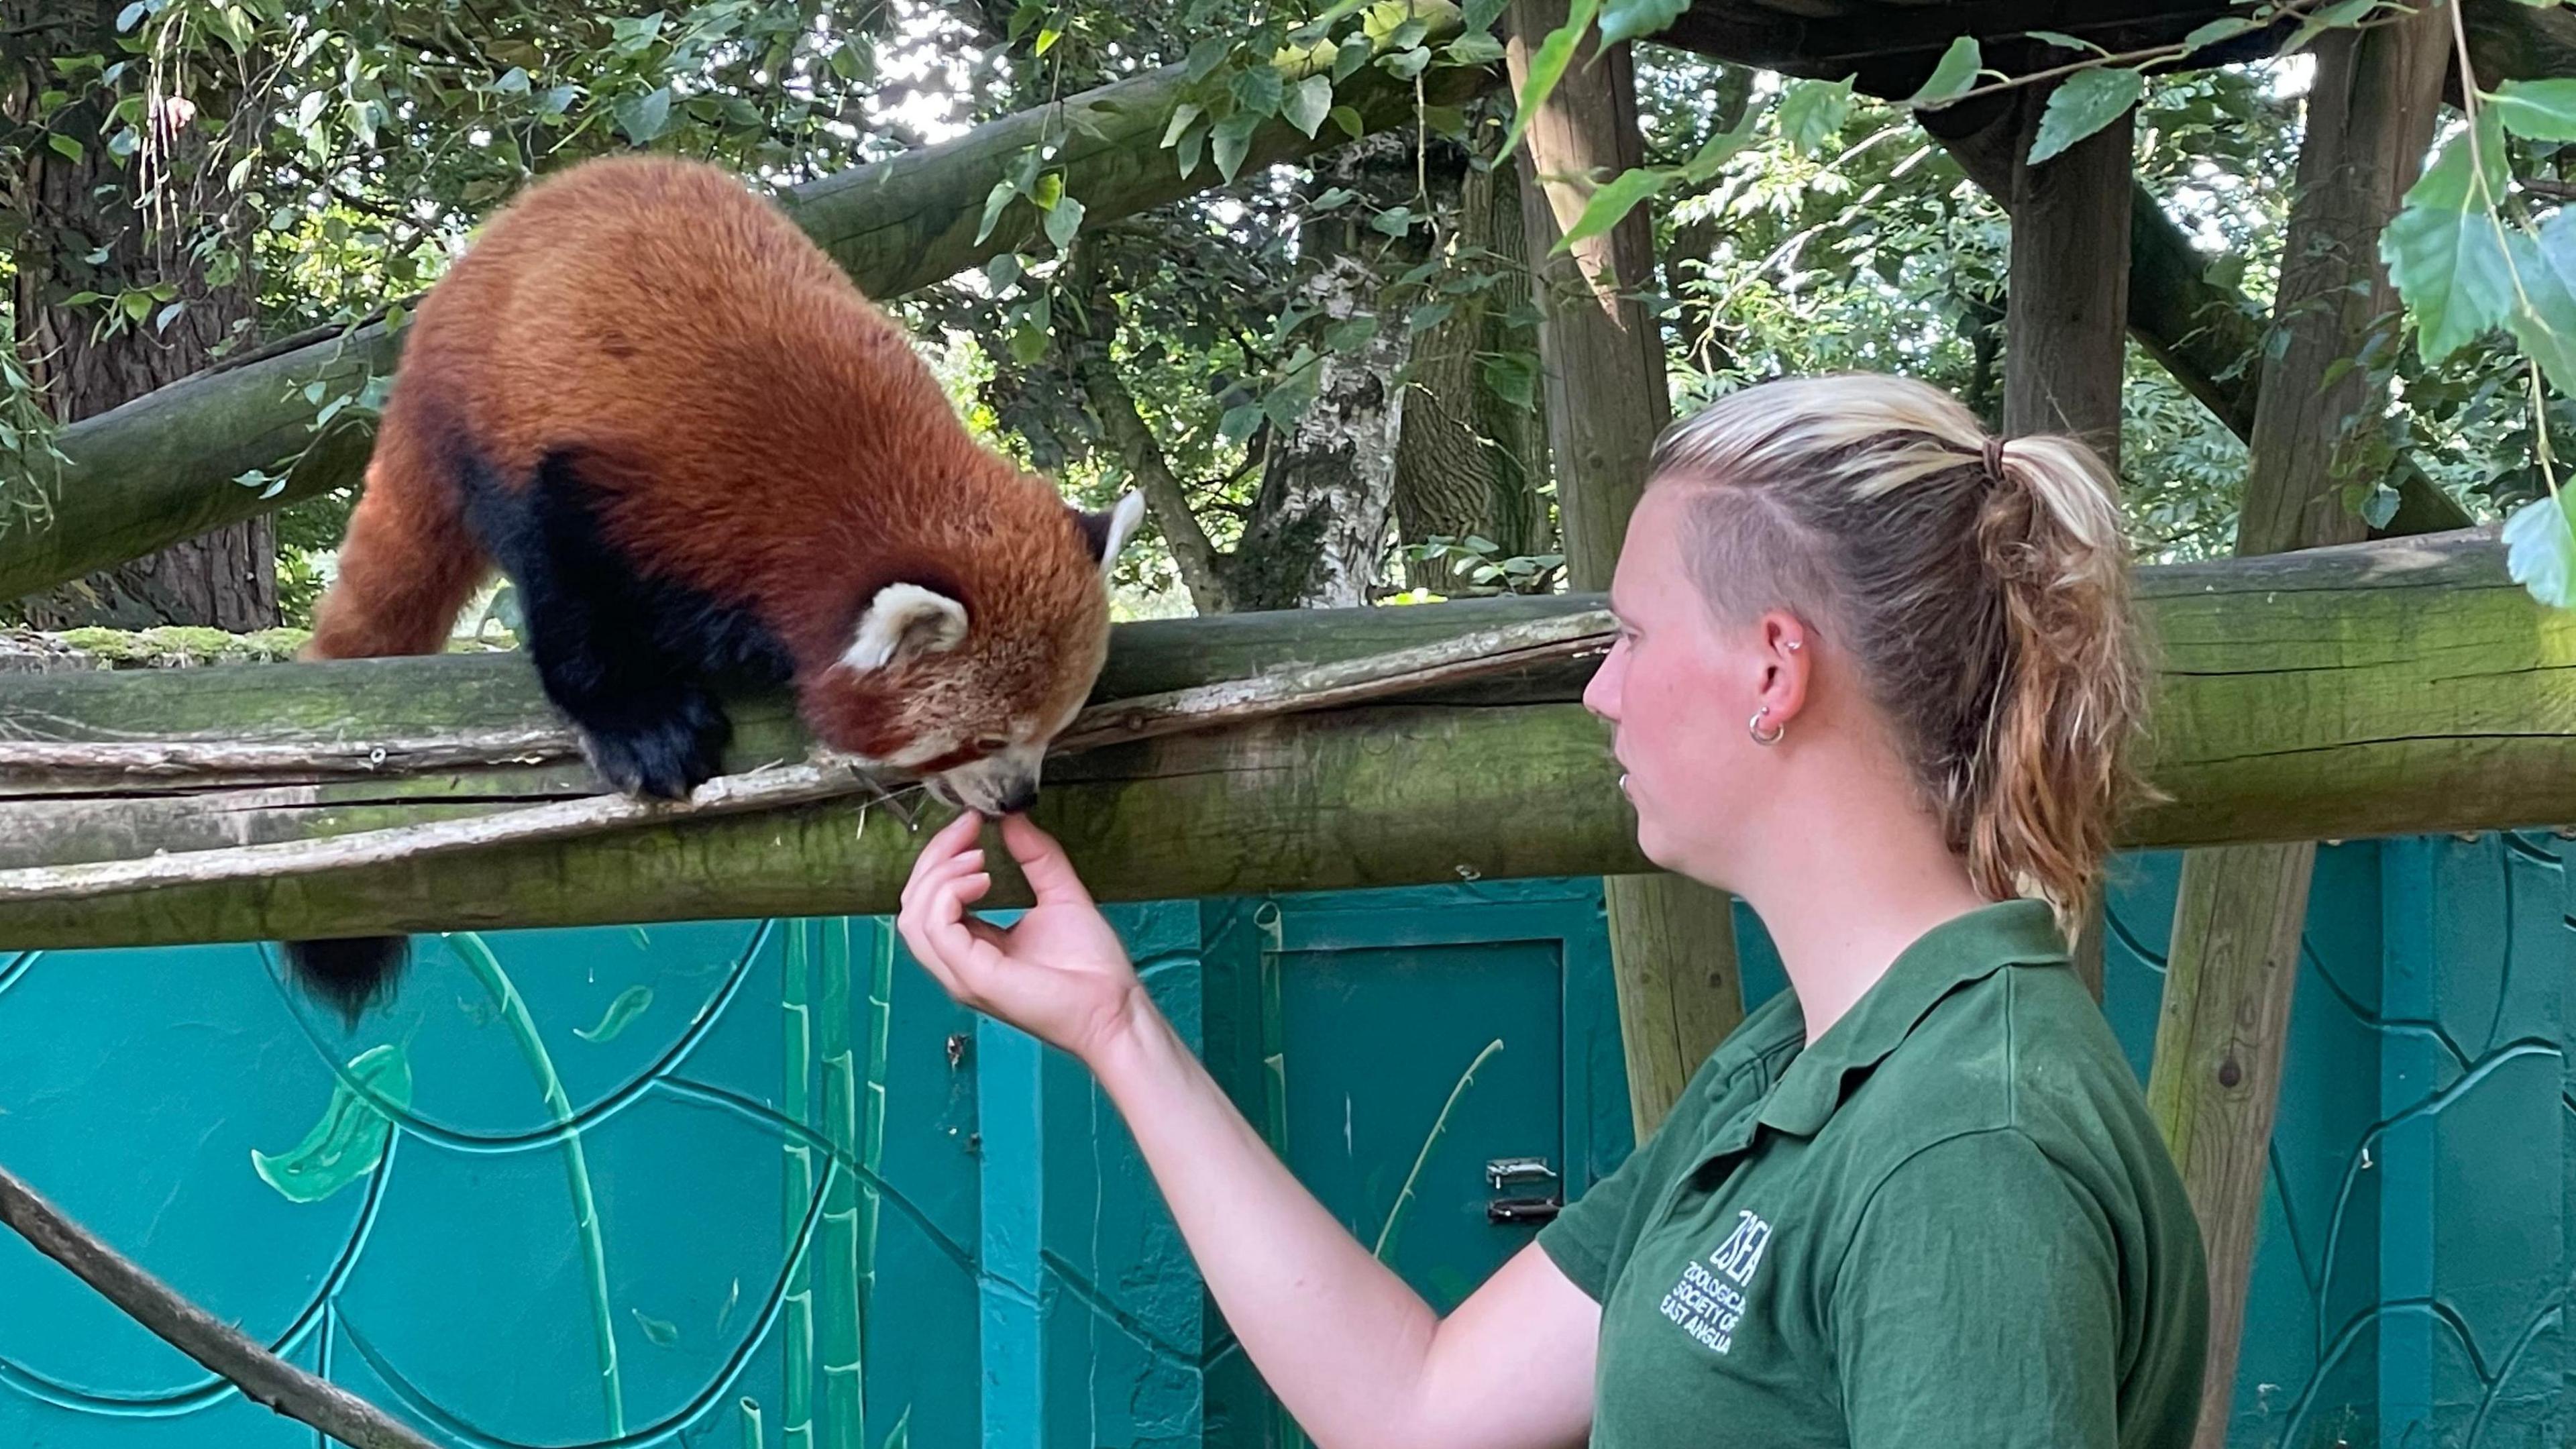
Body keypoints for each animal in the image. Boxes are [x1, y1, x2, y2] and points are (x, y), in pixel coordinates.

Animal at [287, 155, 1143, 1016]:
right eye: (985, 740)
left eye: (1055, 729)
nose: (1020, 798)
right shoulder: (622, 486)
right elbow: (573, 597)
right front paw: (644, 727)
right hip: (486, 410)